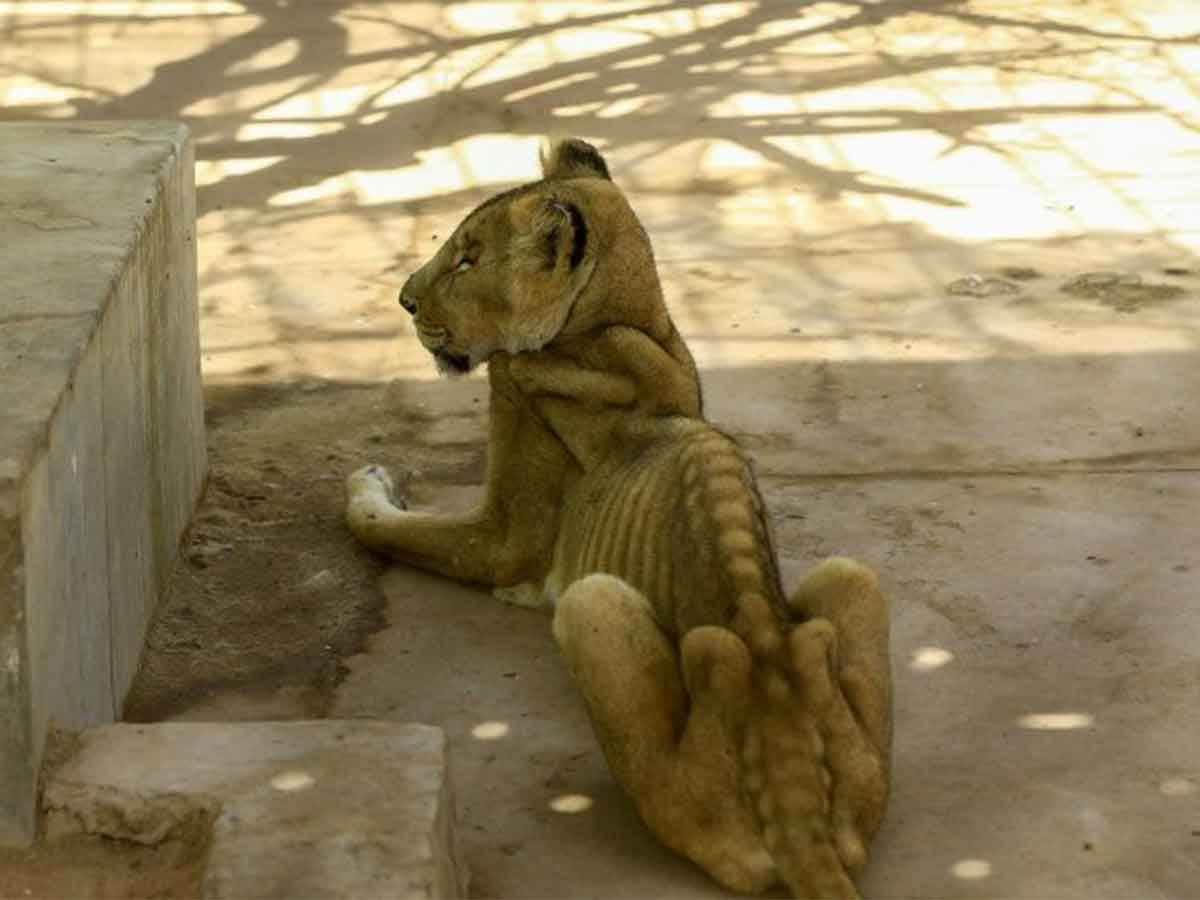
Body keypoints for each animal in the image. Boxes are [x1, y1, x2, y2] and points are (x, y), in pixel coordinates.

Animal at [346, 138, 892, 899]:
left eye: (467, 259)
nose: (403, 301)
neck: (621, 323)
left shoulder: (504, 533)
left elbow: (390, 527)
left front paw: (363, 481)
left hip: (591, 606)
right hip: (854, 584)